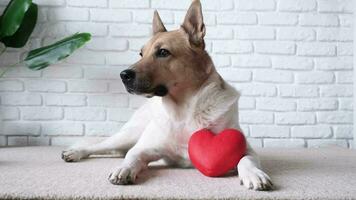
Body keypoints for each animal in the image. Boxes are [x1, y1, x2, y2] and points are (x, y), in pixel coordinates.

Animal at [62, 0, 272, 191]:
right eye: (141, 53)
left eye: (163, 52)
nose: (123, 75)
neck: (184, 110)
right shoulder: (143, 148)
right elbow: (132, 156)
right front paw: (124, 169)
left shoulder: (245, 147)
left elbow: (246, 159)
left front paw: (255, 174)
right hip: (128, 135)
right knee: (102, 146)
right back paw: (75, 152)